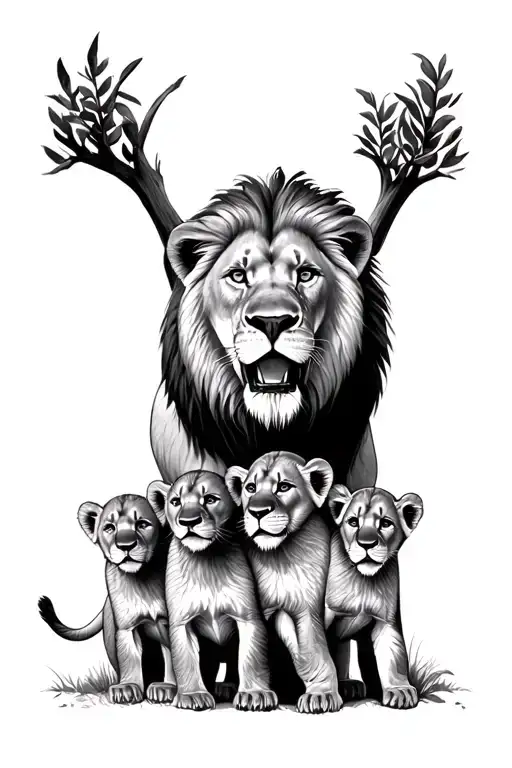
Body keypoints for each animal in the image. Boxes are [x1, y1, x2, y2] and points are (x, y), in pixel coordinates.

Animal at [38, 494, 175, 705]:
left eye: (142, 524)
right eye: (109, 528)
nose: (125, 546)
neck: (142, 580)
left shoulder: (168, 622)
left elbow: (173, 655)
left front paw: (167, 687)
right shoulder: (126, 627)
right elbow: (129, 657)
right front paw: (128, 687)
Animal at [147, 470, 278, 712]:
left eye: (210, 499)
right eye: (176, 502)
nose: (188, 522)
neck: (205, 561)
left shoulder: (248, 617)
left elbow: (251, 657)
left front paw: (254, 694)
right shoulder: (181, 622)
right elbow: (185, 659)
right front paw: (193, 696)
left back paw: (227, 687)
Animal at [225, 451, 342, 714]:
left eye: (284, 487)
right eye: (250, 488)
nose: (258, 512)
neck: (280, 557)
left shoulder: (308, 607)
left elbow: (314, 648)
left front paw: (321, 694)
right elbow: (254, 651)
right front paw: (254, 694)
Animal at [325, 484, 424, 708]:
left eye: (385, 523)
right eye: (353, 522)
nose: (366, 544)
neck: (363, 581)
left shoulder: (385, 619)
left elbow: (394, 654)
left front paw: (400, 690)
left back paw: (349, 686)